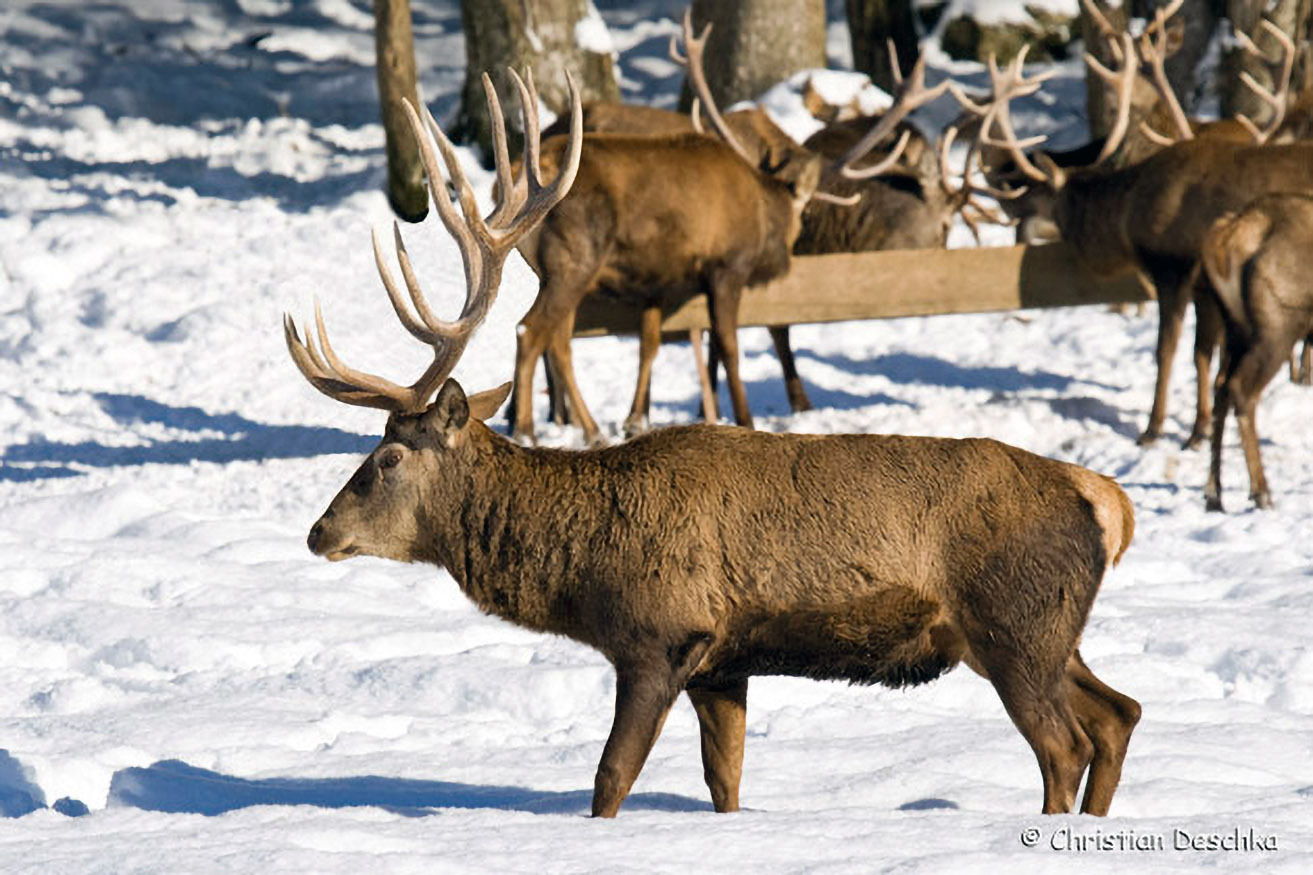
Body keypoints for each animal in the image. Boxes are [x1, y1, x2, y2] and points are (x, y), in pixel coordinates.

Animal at [285, 64, 1141, 819]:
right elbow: (723, 782)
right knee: (1118, 713)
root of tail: (1107, 502)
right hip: (1047, 631)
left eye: (387, 456)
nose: (318, 531)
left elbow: (609, 778)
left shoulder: (660, 636)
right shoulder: (723, 666)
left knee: (1065, 743)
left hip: (1012, 623)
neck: (581, 570)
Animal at [1200, 193, 1313, 511]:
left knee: (1221, 387)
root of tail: (1224, 238)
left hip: (1235, 327)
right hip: (1278, 327)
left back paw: (1214, 493)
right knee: (1241, 389)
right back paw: (1261, 490)